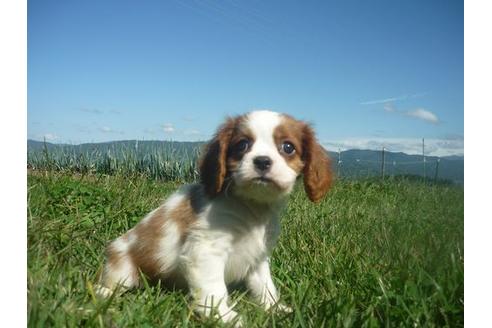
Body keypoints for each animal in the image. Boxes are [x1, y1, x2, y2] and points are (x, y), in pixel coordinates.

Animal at [94, 109, 332, 322]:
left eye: (288, 147)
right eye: (242, 145)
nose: (262, 161)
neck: (251, 206)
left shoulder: (258, 256)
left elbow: (265, 285)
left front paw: (275, 309)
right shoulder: (206, 250)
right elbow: (214, 289)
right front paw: (224, 317)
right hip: (123, 266)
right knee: (112, 284)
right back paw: (101, 294)